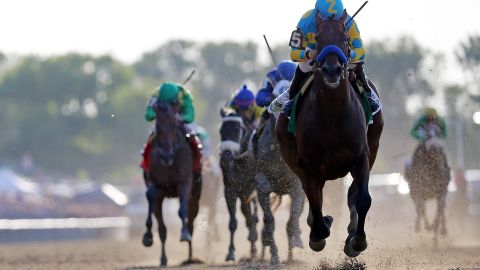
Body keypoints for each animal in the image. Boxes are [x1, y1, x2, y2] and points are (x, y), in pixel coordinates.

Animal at [142, 100, 202, 266]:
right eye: (157, 126)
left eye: (175, 125)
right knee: (162, 228)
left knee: (191, 221)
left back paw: (190, 257)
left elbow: (182, 212)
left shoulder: (184, 181)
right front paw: (147, 236)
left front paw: (184, 234)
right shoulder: (155, 183)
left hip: (196, 196)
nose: (166, 155)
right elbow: (150, 196)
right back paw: (164, 259)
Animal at [276, 10, 384, 258]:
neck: (333, 117)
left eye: (345, 38)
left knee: (352, 194)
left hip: (373, 146)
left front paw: (357, 241)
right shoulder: (308, 166)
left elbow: (363, 199)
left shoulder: (361, 156)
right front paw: (319, 231)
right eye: (317, 38)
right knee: (313, 195)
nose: (332, 70)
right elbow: (315, 203)